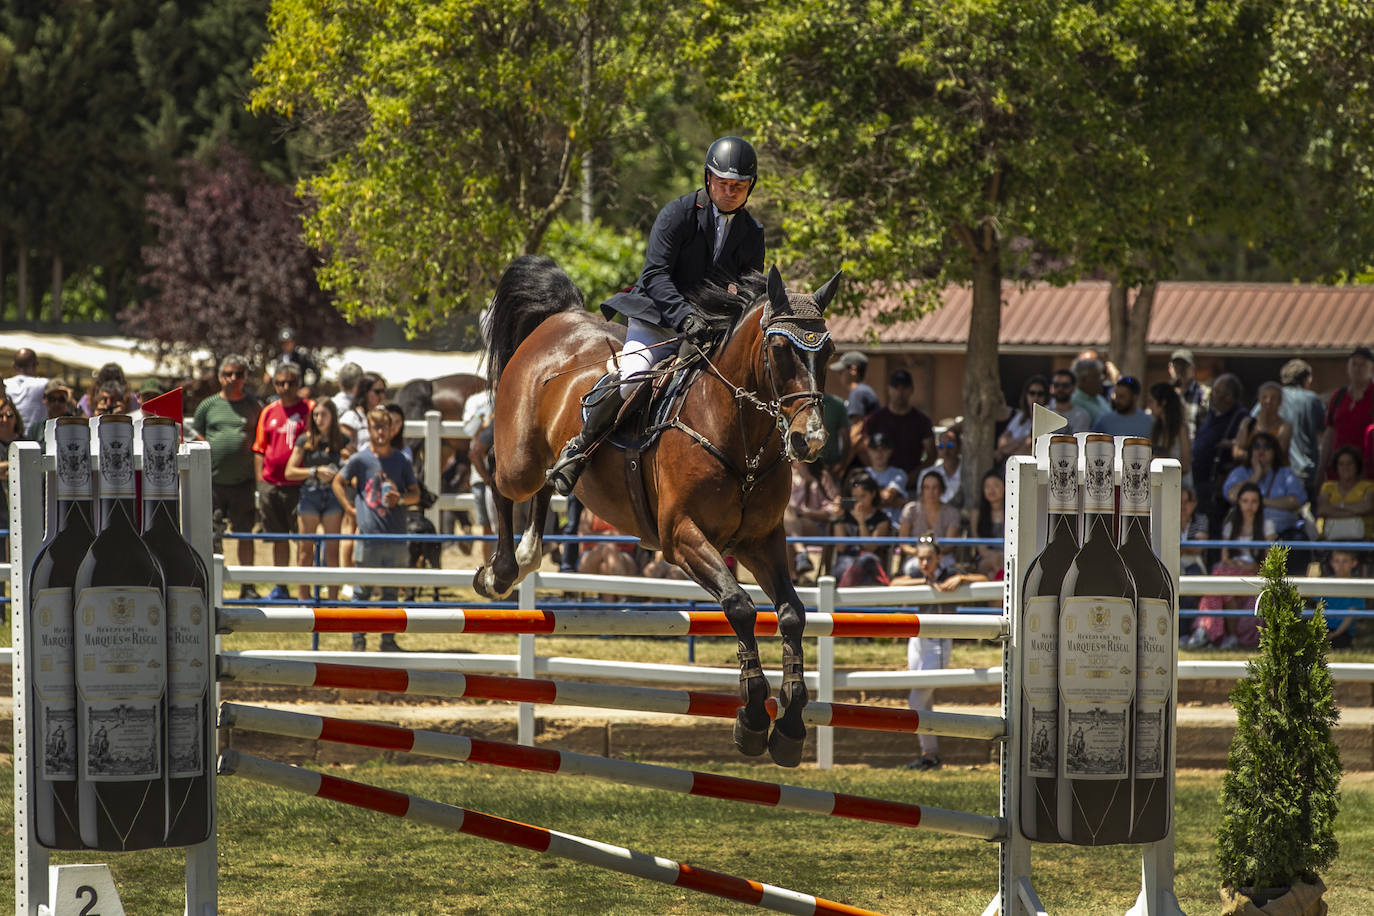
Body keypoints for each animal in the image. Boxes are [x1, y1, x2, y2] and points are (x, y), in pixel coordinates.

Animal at [472, 258, 835, 769]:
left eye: (830, 352)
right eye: (780, 349)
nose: (811, 440)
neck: (738, 435)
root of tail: (560, 318)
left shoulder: (761, 541)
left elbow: (791, 615)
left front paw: (790, 725)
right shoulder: (681, 536)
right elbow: (739, 606)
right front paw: (752, 718)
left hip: (547, 464)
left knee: (548, 486)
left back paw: (527, 553)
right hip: (519, 459)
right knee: (500, 480)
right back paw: (500, 571)